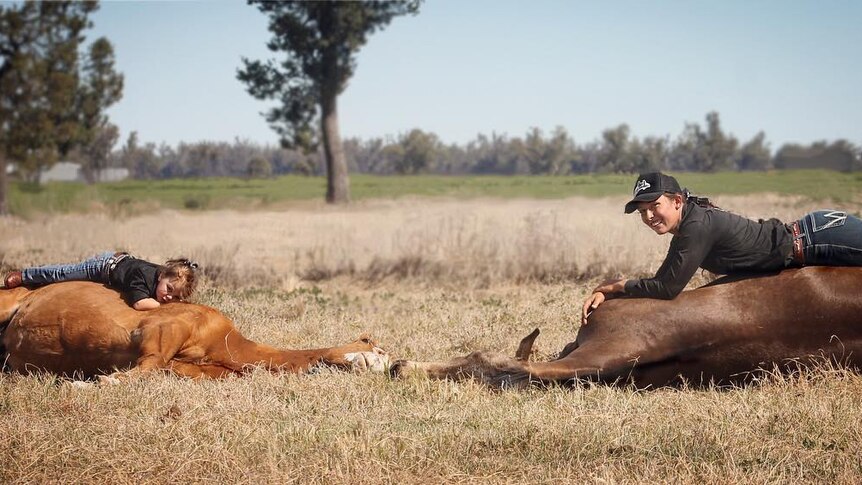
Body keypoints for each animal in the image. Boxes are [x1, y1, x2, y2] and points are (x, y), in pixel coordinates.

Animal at [0, 282, 388, 380]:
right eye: (381, 350)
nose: (394, 367)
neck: (225, 343)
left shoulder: (189, 368)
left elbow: (155, 369)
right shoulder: (162, 326)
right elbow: (146, 365)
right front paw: (89, 384)